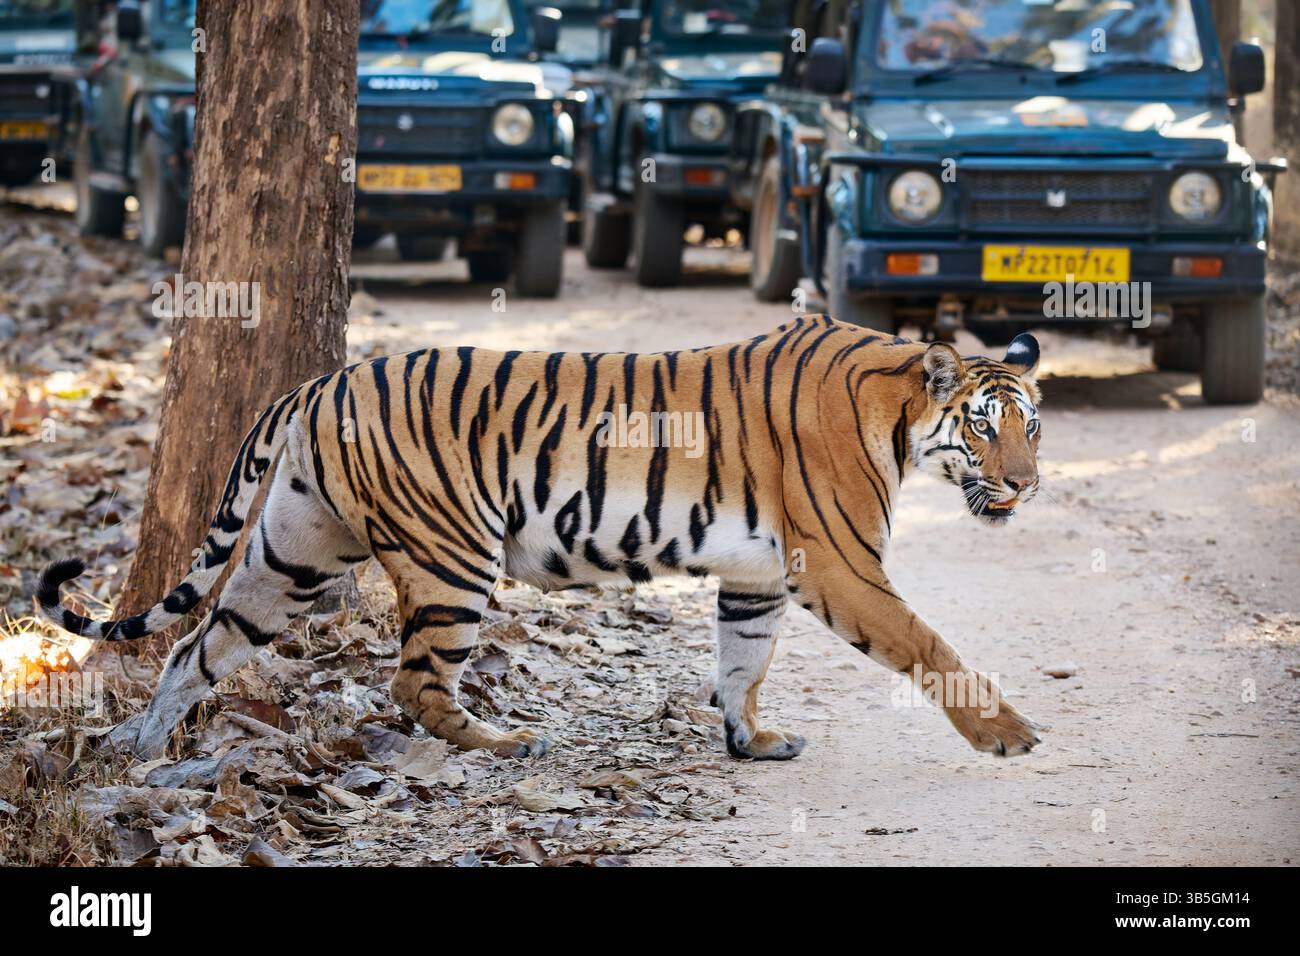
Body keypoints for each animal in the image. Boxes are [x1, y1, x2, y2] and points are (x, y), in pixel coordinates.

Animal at [37, 315, 1044, 762]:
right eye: (985, 428)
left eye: (1033, 428)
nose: (1029, 486)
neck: (902, 415)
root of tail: (322, 382)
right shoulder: (839, 564)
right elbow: (929, 644)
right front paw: (1009, 733)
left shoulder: (756, 574)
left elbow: (742, 661)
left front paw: (750, 739)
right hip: (451, 557)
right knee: (413, 681)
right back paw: (500, 742)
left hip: (293, 553)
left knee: (195, 648)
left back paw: (139, 749)